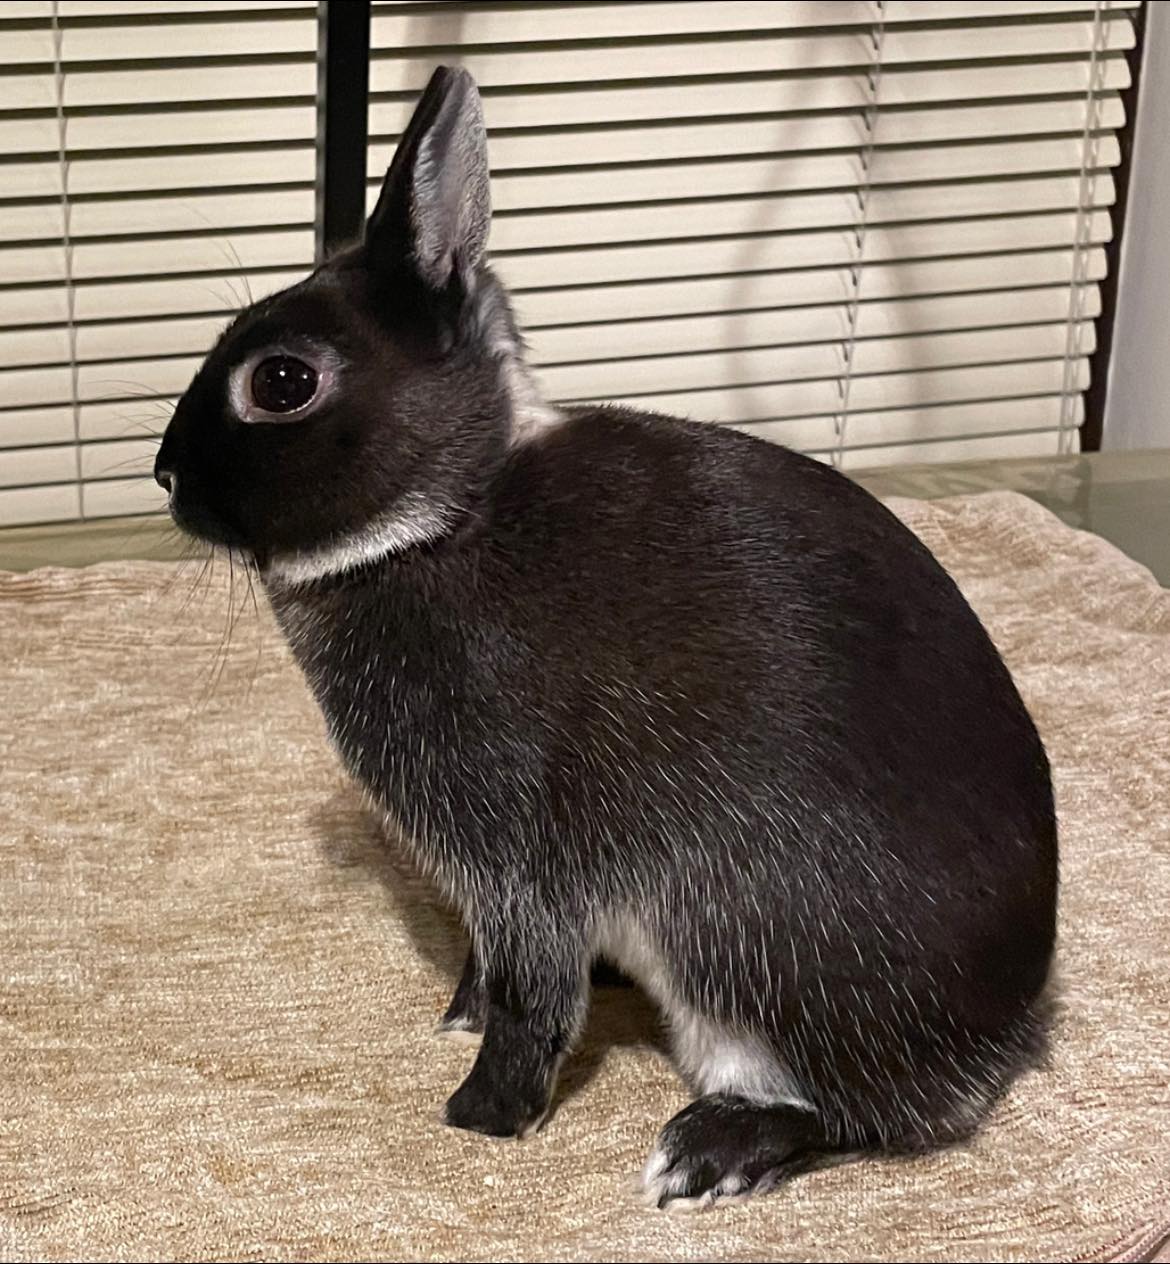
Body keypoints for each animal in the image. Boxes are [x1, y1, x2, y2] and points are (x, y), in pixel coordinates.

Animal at [155, 66, 1058, 1209]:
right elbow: (495, 975)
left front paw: (481, 1115)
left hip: (745, 955)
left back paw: (705, 1150)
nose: (166, 475)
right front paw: (456, 1014)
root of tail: (1009, 1034)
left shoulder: (520, 851)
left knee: (861, 1117)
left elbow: (536, 996)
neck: (445, 517)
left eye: (280, 383)